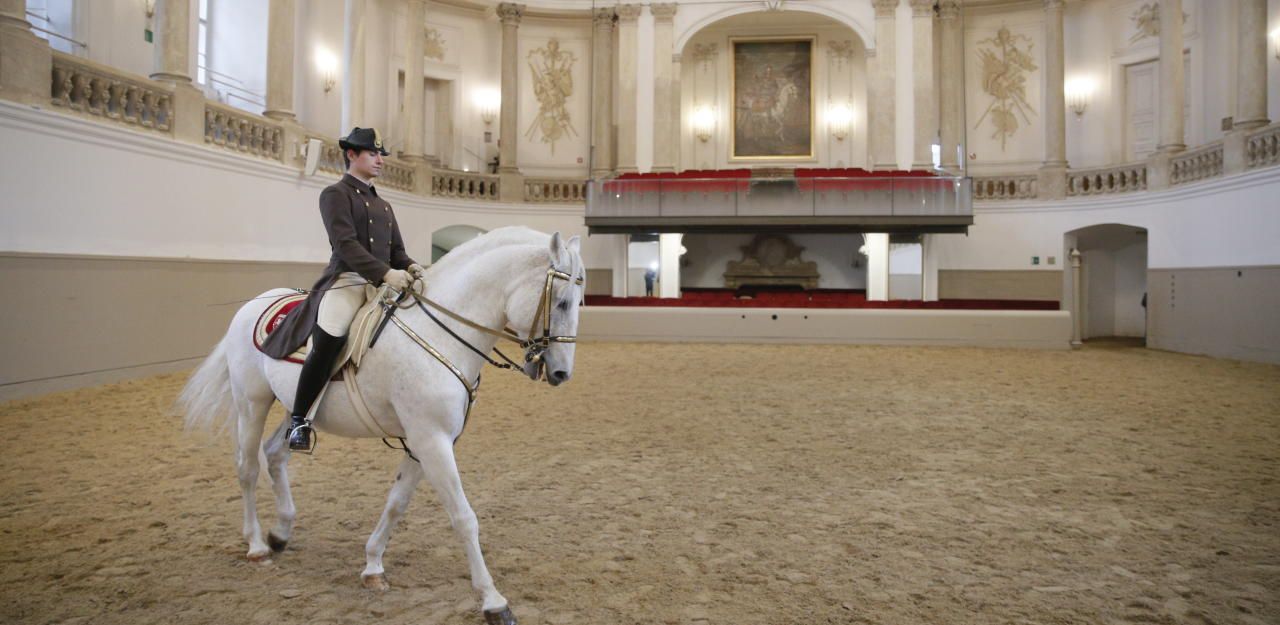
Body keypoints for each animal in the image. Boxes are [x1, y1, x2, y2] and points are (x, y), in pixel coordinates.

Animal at [176, 225, 586, 625]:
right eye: (562, 302)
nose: (562, 373)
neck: (441, 335)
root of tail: (254, 304)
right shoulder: (431, 439)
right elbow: (463, 517)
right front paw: (494, 602)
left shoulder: (425, 443)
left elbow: (396, 503)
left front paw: (373, 565)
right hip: (252, 403)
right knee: (247, 468)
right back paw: (258, 545)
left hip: (295, 409)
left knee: (275, 454)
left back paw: (281, 532)